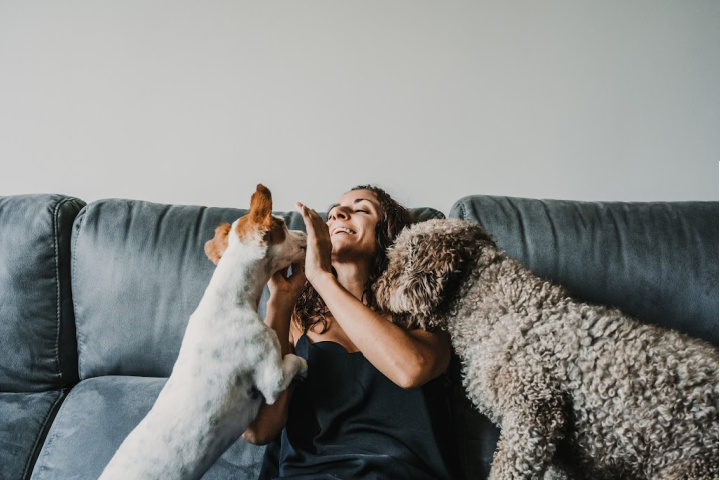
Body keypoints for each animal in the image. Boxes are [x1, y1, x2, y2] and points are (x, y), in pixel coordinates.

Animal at [97, 185, 306, 480]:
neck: (230, 299)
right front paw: (304, 366)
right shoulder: (271, 378)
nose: (306, 235)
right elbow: (293, 361)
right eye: (283, 225)